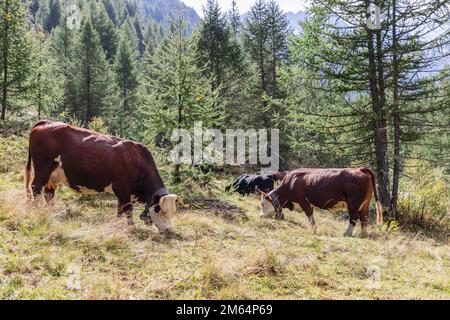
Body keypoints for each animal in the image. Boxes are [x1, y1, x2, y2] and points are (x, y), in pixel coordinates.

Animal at [24, 120, 183, 232]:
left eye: (173, 212)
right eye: (159, 209)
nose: (169, 229)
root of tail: (46, 122)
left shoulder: (124, 193)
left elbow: (120, 210)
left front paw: (118, 224)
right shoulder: (122, 188)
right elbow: (127, 210)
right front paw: (131, 227)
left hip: (53, 176)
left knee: (48, 193)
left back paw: (51, 212)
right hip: (43, 168)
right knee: (36, 188)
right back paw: (38, 211)